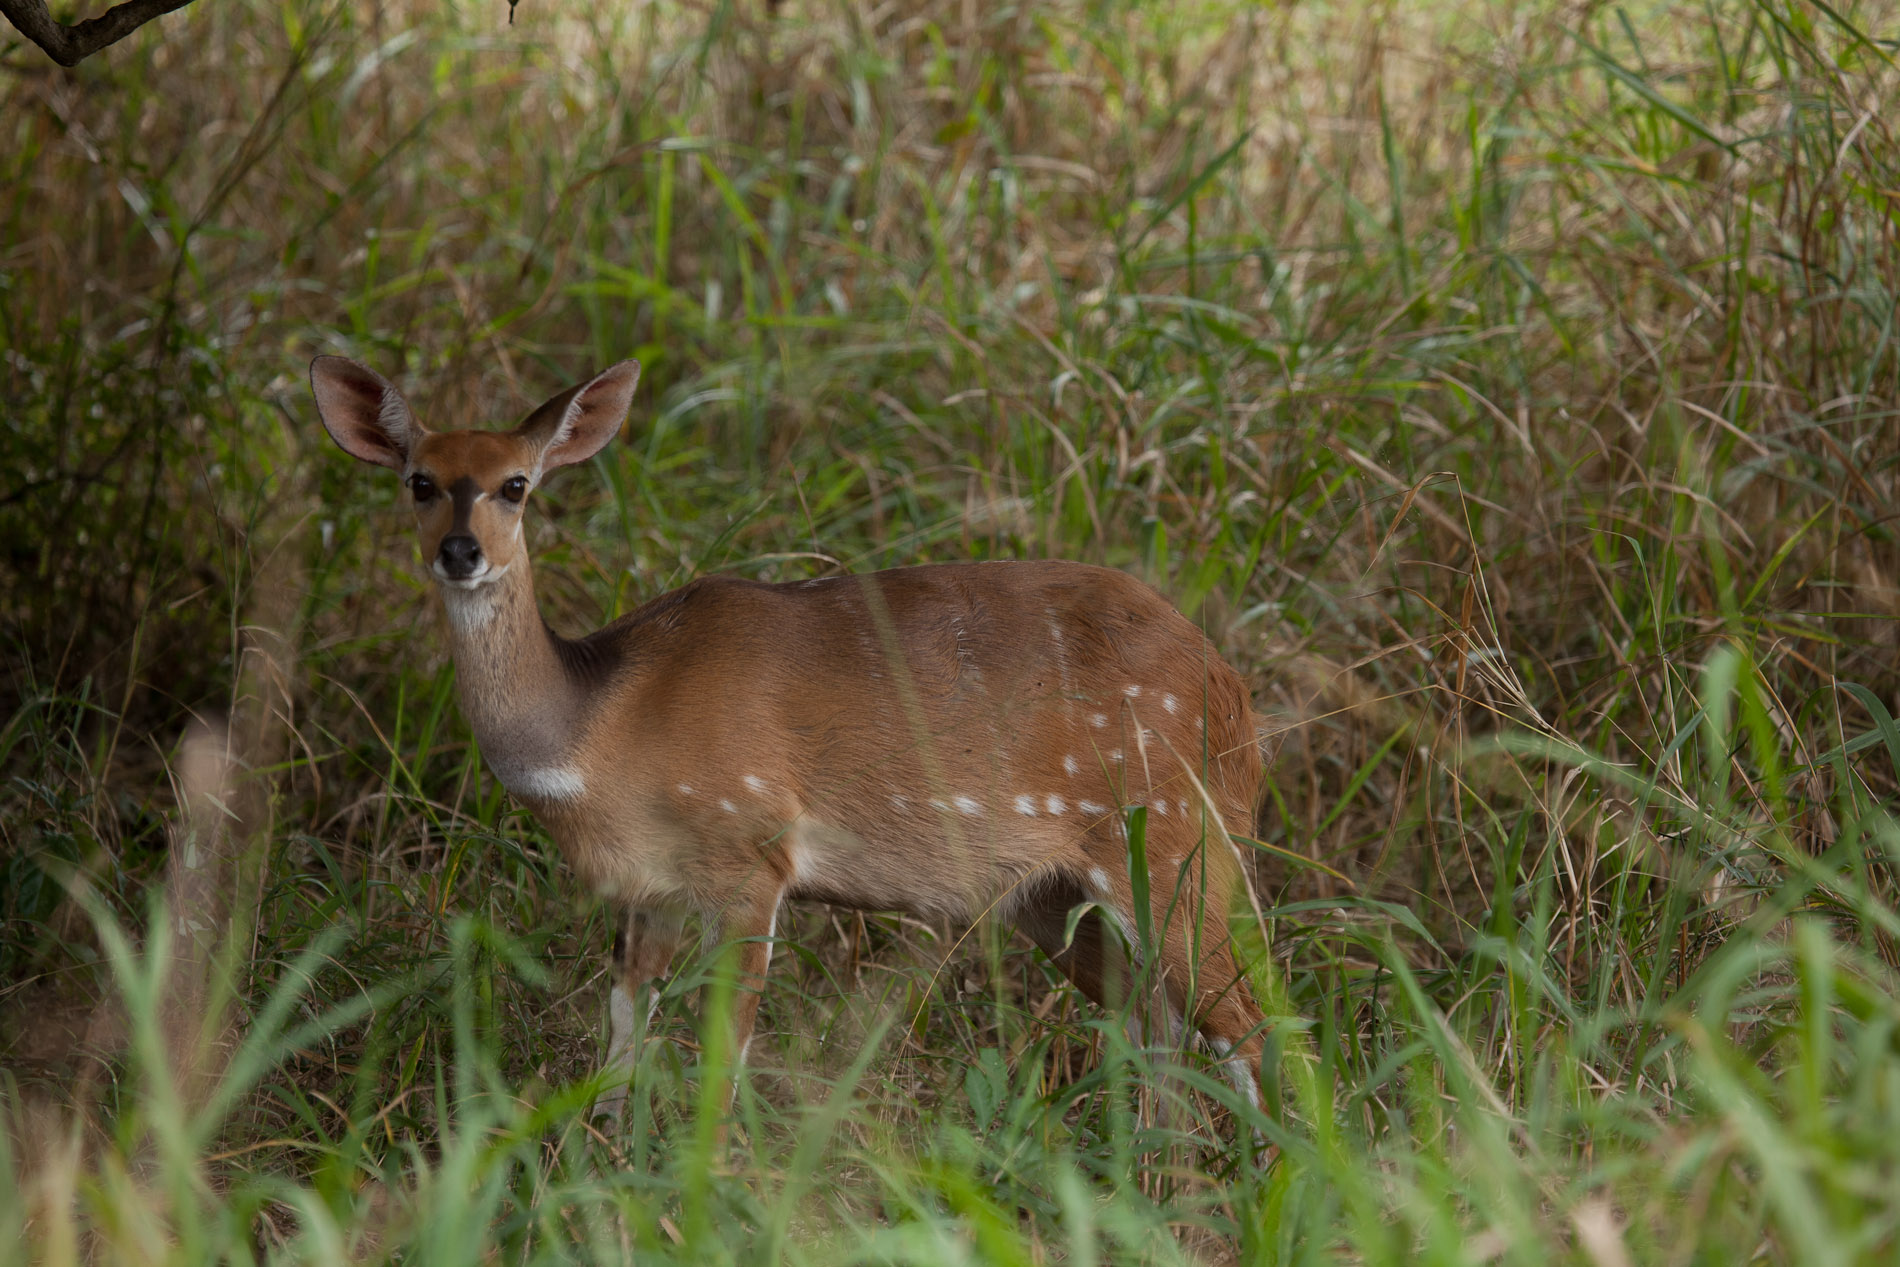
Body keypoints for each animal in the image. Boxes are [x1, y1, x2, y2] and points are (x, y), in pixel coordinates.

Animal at [311, 355, 1269, 1116]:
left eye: (516, 484)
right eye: (419, 480)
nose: (460, 551)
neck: (600, 726)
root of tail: (1234, 697)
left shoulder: (751, 853)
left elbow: (721, 1054)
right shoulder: (648, 887)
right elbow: (622, 1032)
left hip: (1175, 845)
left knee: (1246, 1026)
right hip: (1053, 896)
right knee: (1157, 1029)